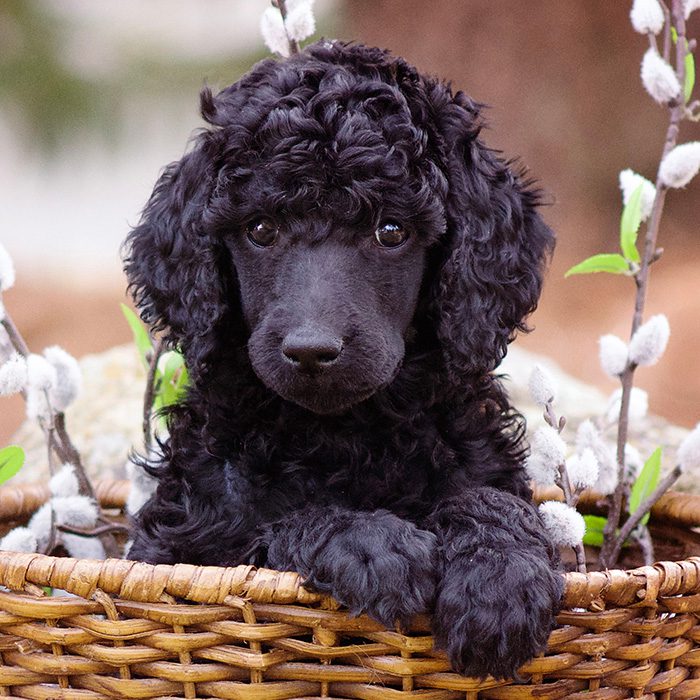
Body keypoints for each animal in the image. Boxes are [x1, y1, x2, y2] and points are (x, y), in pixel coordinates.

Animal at [123, 38, 564, 680]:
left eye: (391, 230)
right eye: (260, 229)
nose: (312, 349)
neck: (347, 434)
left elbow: (493, 500)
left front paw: (500, 581)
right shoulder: (181, 547)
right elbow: (270, 528)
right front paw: (371, 544)